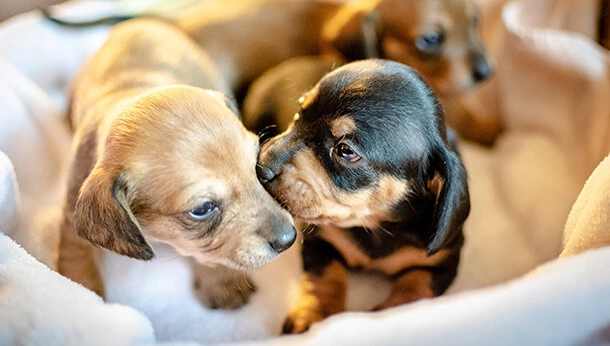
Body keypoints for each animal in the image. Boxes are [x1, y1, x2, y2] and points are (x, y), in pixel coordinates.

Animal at [254, 59, 468, 332]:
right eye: (299, 114)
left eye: (345, 150)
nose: (260, 167)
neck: (376, 225)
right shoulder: (322, 241)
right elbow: (324, 277)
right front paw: (313, 315)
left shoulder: (442, 262)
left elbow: (416, 288)